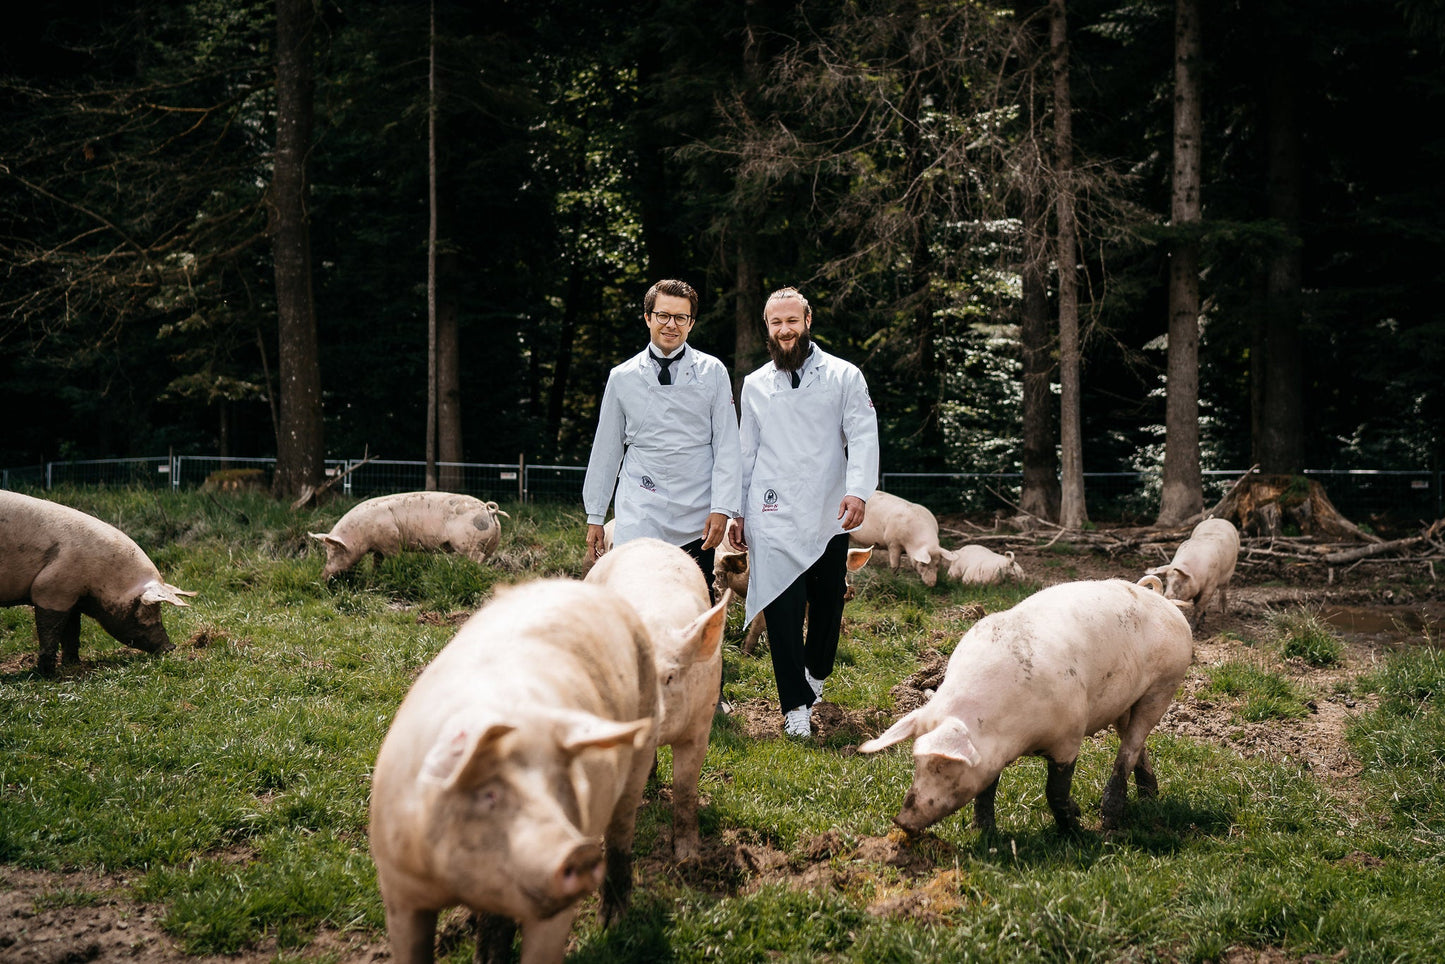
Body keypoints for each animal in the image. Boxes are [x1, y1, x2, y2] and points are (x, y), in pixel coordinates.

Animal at [0, 494, 196, 676]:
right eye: (147, 609)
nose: (170, 646)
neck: (101, 575)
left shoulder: (71, 596)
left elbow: (72, 632)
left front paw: (74, 664)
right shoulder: (51, 589)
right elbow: (50, 631)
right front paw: (47, 674)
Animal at [309, 491, 508, 581]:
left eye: (335, 552)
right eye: (327, 552)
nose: (322, 576)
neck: (361, 533)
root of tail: (489, 510)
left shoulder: (391, 540)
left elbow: (394, 558)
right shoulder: (378, 548)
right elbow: (377, 561)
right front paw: (374, 576)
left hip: (468, 543)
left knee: (477, 557)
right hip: (489, 544)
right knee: (485, 557)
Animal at [861, 581, 1190, 838]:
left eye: (943, 766)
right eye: (917, 763)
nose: (901, 821)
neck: (1015, 735)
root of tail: (1165, 601)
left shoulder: (1070, 735)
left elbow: (1055, 790)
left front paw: (1076, 827)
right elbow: (987, 789)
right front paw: (984, 832)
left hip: (1164, 684)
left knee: (1132, 744)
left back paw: (1109, 822)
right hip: (1125, 702)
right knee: (1135, 744)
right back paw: (1149, 799)